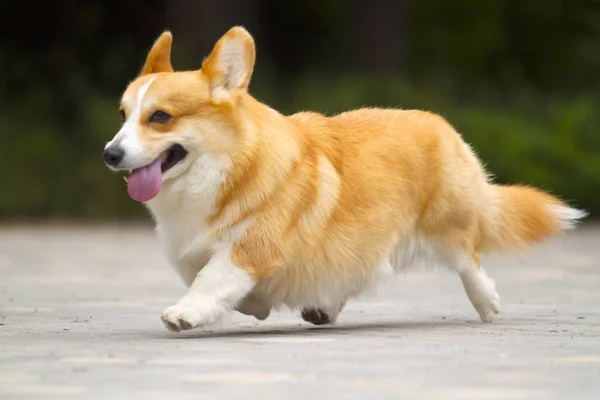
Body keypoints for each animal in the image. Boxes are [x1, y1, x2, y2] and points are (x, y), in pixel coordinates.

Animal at [103, 25, 584, 332]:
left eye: (160, 117)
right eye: (123, 115)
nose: (110, 155)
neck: (228, 166)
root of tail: (439, 123)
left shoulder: (251, 246)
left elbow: (212, 277)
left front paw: (186, 313)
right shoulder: (191, 251)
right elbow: (208, 276)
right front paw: (255, 304)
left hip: (449, 224)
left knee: (470, 258)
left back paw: (486, 302)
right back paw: (322, 307)